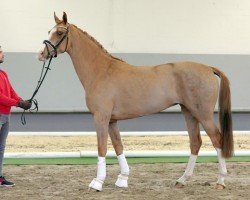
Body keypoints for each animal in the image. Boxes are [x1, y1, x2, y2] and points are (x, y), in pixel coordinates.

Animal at [38, 12, 233, 191]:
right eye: (49, 31)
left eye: (59, 32)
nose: (41, 54)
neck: (102, 71)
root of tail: (208, 68)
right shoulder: (112, 120)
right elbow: (118, 146)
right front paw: (123, 178)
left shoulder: (101, 118)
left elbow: (102, 147)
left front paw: (97, 182)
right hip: (189, 111)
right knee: (195, 142)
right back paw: (182, 180)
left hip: (203, 114)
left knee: (217, 139)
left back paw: (221, 181)